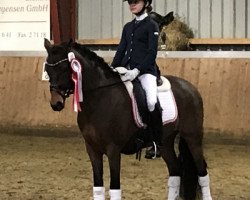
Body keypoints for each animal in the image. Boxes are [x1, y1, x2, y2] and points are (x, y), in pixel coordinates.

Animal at [44, 38, 212, 200]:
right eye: (47, 70)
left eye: (64, 68)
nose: (56, 104)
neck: (100, 98)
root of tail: (190, 88)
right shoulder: (92, 150)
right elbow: (98, 188)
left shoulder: (113, 150)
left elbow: (114, 189)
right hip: (166, 142)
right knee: (175, 172)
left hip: (193, 137)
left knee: (202, 173)